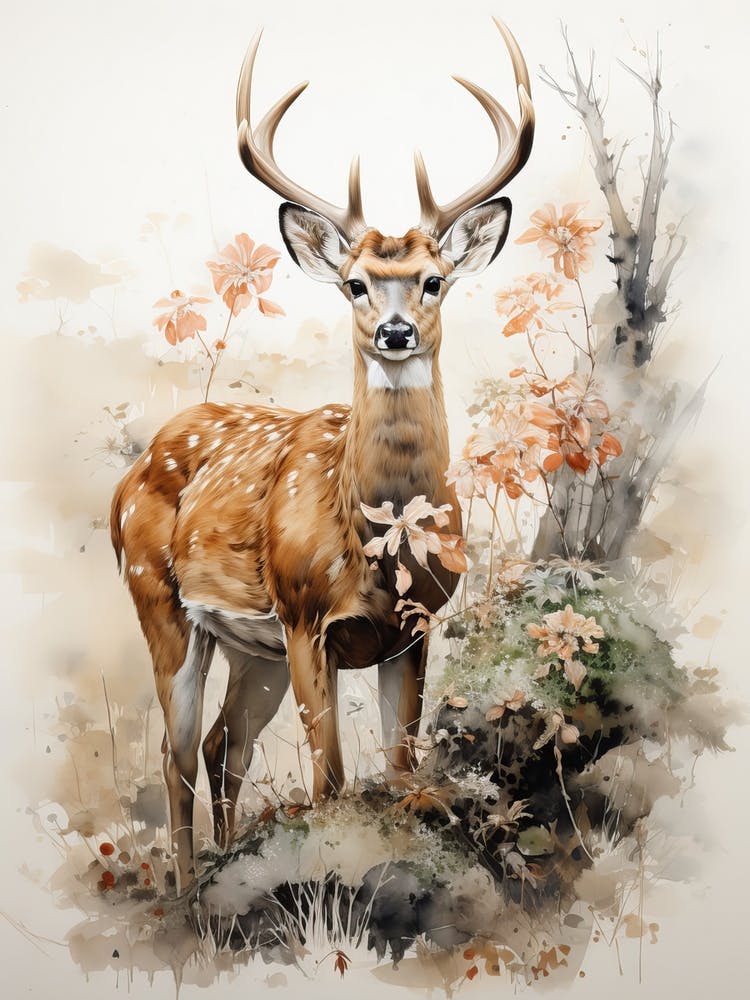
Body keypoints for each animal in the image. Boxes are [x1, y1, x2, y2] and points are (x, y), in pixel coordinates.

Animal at [110, 17, 534, 889]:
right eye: (355, 283)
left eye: (434, 279)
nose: (395, 332)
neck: (375, 543)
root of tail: (129, 478)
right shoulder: (307, 618)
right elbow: (329, 779)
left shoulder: (413, 629)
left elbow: (400, 770)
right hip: (161, 602)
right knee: (176, 753)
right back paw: (185, 890)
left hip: (254, 649)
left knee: (223, 747)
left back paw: (222, 859)